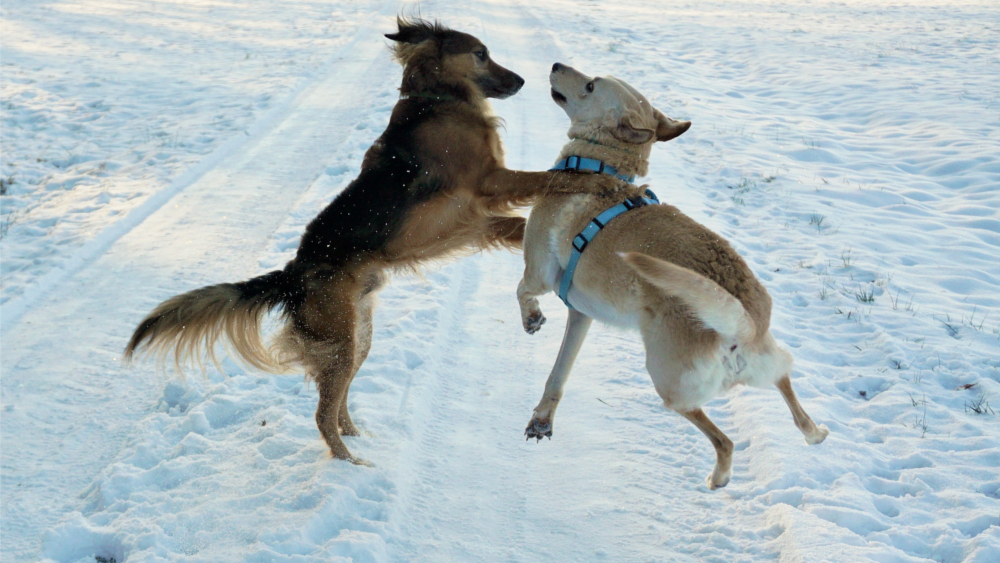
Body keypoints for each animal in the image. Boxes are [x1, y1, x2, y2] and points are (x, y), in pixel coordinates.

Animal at [123, 20, 624, 462]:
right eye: (481, 53)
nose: (520, 80)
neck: (440, 99)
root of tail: (292, 274)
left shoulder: (478, 218)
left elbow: (523, 226)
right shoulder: (490, 181)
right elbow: (551, 177)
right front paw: (600, 183)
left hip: (356, 337)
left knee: (337, 401)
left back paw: (357, 437)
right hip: (341, 343)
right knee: (322, 415)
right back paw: (350, 463)